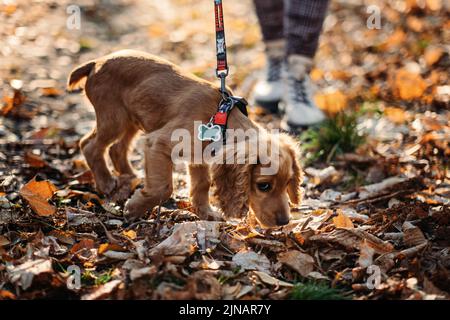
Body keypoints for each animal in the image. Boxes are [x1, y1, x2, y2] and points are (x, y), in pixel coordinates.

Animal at [67, 49, 304, 228]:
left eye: (287, 183)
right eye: (263, 186)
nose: (284, 222)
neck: (222, 118)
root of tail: (96, 62)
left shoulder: (198, 158)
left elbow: (202, 185)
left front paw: (206, 213)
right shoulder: (159, 143)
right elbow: (164, 188)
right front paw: (134, 209)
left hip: (131, 121)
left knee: (116, 149)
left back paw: (130, 176)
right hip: (114, 119)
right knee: (89, 145)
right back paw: (106, 183)